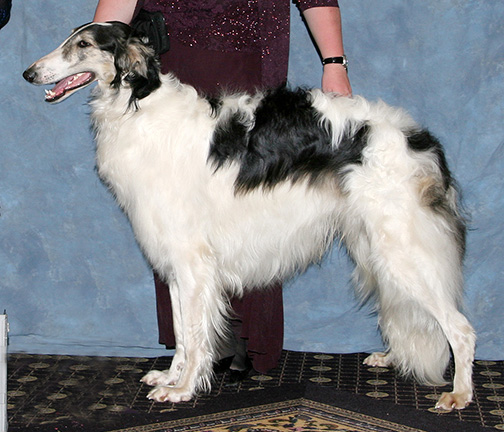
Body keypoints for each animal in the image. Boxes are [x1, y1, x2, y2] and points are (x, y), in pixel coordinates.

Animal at [22, 22, 476, 410]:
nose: (28, 73)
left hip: (402, 249)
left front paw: (183, 389)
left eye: (83, 44)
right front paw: (171, 377)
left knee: (461, 329)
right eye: (70, 38)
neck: (140, 108)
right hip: (377, 247)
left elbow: (195, 335)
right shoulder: (176, 265)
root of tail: (418, 138)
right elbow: (182, 335)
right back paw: (391, 357)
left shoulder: (193, 262)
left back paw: (459, 394)